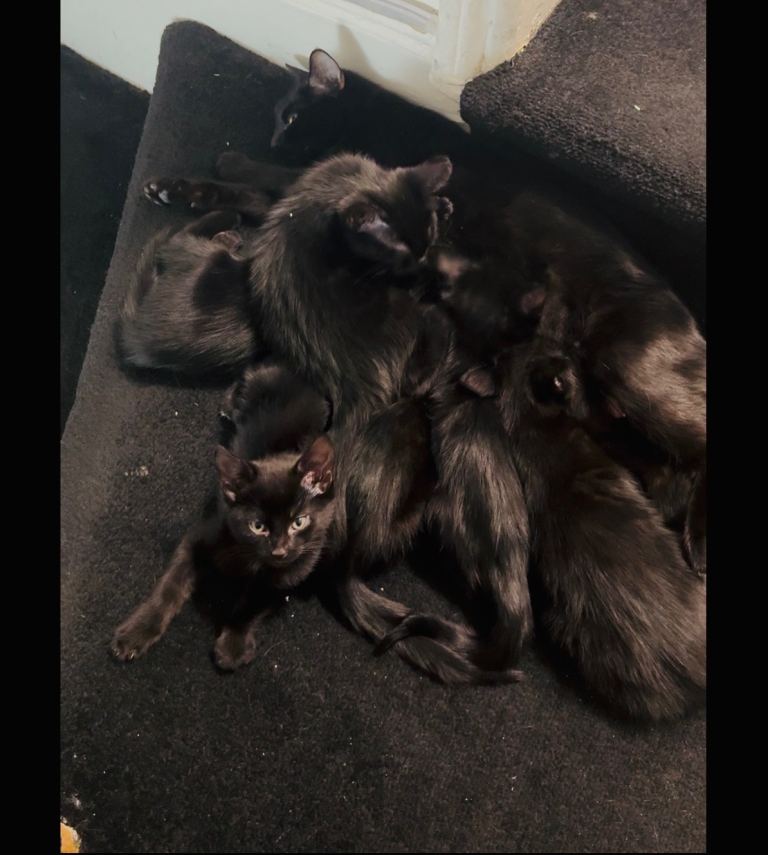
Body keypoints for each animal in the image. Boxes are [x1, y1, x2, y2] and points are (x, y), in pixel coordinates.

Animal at [110, 360, 336, 671]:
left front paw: (233, 644)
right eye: (258, 526)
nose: (279, 551)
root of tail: (295, 370)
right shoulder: (201, 535)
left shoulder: (294, 570)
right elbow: (169, 587)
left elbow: (254, 602)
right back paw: (228, 406)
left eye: (298, 521)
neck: (248, 558)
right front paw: (137, 632)